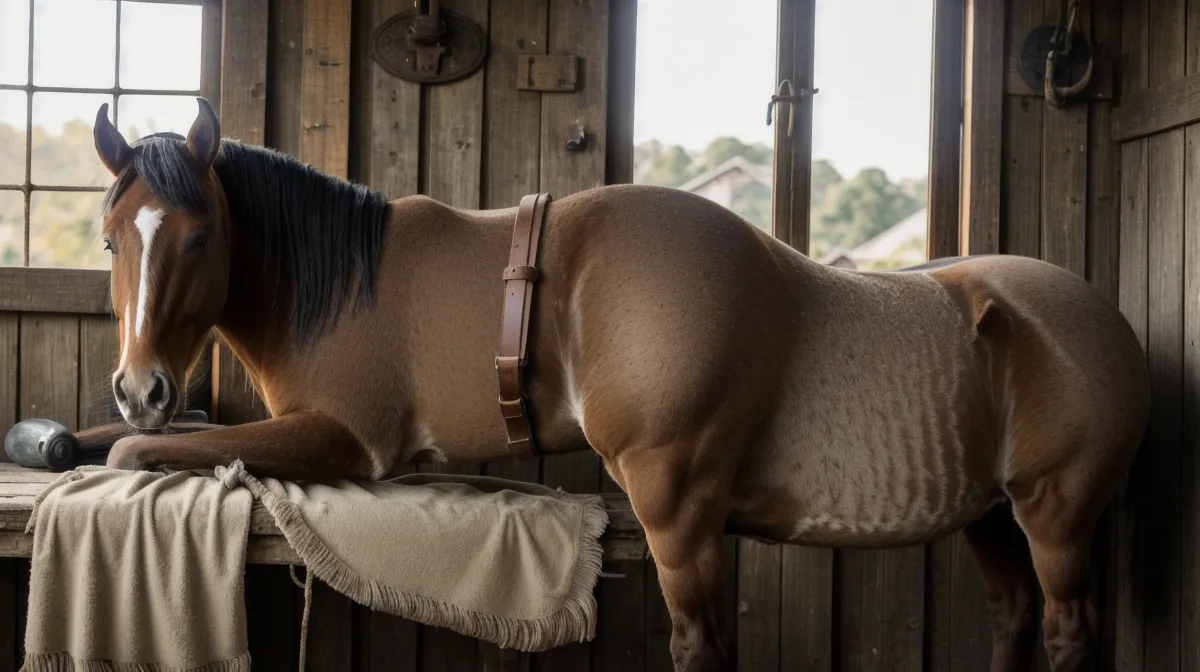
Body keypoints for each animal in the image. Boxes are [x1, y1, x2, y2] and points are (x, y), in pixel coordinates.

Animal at [90, 97, 1149, 672]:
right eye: (110, 238)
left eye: (199, 237)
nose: (142, 384)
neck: (345, 281)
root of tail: (1102, 321)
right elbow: (123, 442)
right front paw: (96, 430)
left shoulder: (347, 444)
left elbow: (144, 451)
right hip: (989, 518)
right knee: (1014, 621)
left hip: (1052, 519)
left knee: (1065, 630)